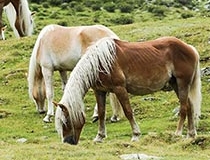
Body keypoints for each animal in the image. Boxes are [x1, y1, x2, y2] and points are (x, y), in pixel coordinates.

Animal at [54, 36, 202, 145]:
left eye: (66, 121)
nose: (67, 142)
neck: (99, 62)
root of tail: (190, 48)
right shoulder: (99, 91)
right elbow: (101, 113)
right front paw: (99, 137)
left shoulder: (120, 89)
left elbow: (128, 111)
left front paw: (135, 135)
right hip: (176, 84)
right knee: (189, 106)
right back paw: (190, 134)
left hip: (182, 84)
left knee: (183, 108)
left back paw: (178, 133)